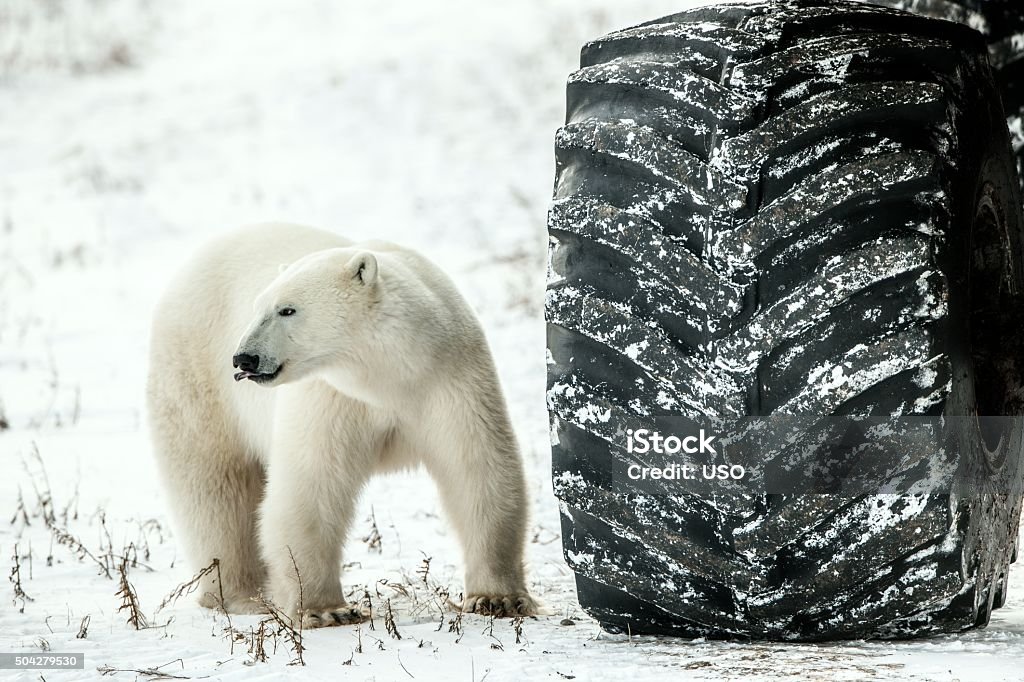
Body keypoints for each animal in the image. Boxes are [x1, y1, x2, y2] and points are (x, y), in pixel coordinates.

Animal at [148, 223, 540, 626]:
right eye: (257, 309)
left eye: (287, 309)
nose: (245, 358)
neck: (390, 377)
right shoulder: (332, 397)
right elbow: (313, 486)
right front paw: (325, 610)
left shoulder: (448, 379)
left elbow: (477, 469)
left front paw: (496, 598)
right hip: (198, 377)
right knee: (217, 486)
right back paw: (241, 595)